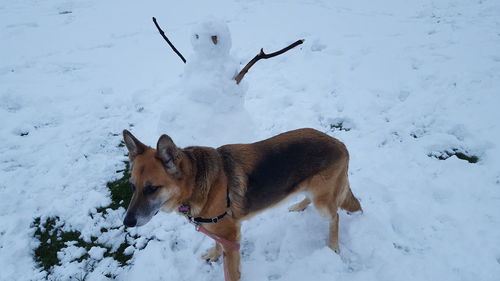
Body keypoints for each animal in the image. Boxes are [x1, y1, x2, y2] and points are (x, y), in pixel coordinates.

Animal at [123, 128, 362, 278]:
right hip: (312, 190)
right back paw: (299, 205)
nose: (127, 222)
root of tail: (340, 143)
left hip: (322, 201)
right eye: (132, 186)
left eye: (152, 188)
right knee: (311, 199)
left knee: (335, 216)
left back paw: (333, 245)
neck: (198, 183)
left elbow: (231, 269)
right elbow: (216, 243)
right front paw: (213, 254)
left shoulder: (231, 237)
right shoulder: (217, 230)